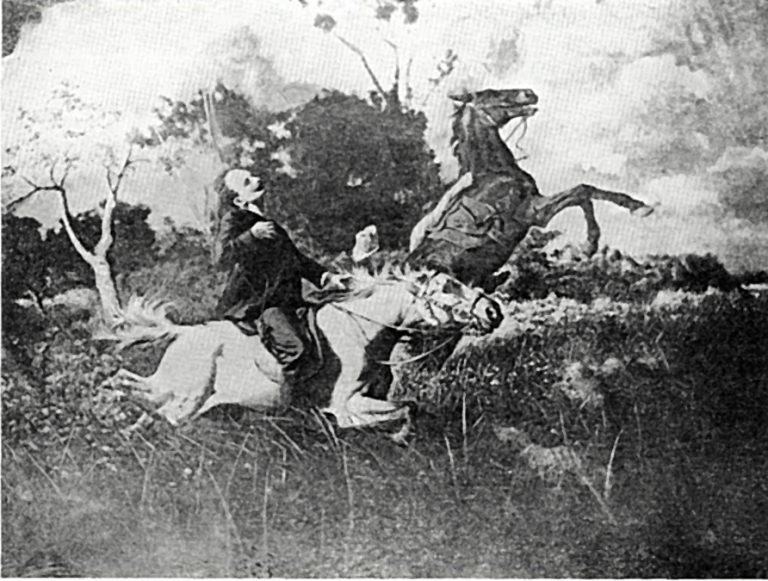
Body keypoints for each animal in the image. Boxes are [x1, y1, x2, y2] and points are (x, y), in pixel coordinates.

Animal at [100, 267, 503, 444]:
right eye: (448, 288)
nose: (493, 312)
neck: (363, 330)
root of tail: (184, 332)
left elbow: (410, 407)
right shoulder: (347, 406)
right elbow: (403, 410)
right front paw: (399, 436)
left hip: (173, 392)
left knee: (126, 387)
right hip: (184, 399)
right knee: (140, 400)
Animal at [407, 88, 654, 291]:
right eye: (492, 93)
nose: (529, 93)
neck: (495, 173)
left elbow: (586, 191)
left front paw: (637, 207)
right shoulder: (533, 213)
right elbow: (581, 191)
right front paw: (591, 244)